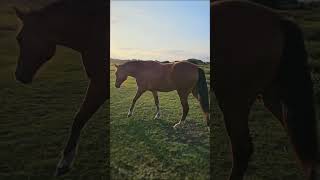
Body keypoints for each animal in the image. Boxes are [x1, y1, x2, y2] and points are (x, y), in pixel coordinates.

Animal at [13, 0, 110, 176]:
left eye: (20, 38)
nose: (19, 75)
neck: (94, 29)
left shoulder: (99, 84)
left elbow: (79, 119)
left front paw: (64, 162)